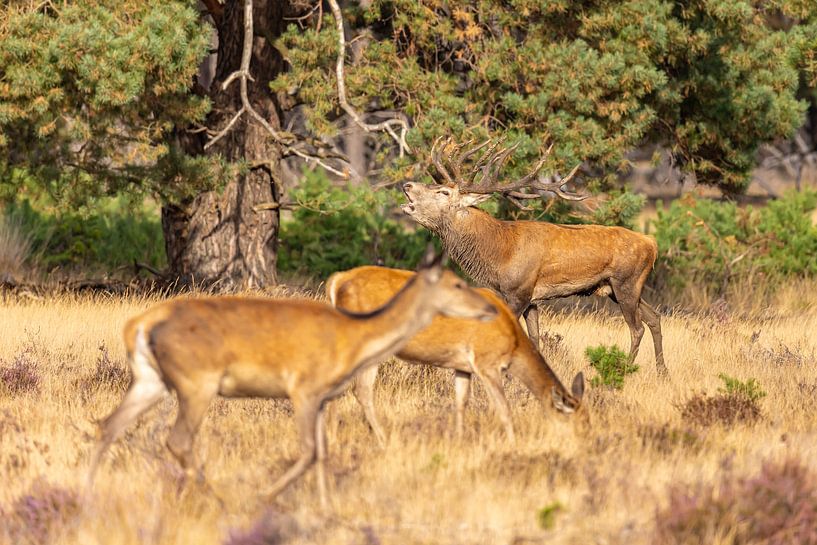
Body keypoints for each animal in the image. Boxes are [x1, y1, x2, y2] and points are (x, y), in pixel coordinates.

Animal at [86, 247, 497, 507]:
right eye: (457, 284)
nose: (490, 308)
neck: (355, 340)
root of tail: (138, 327)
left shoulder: (324, 398)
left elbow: (323, 452)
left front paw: (326, 507)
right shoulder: (304, 389)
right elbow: (309, 450)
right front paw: (266, 496)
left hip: (150, 380)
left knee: (108, 425)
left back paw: (89, 493)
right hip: (196, 383)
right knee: (178, 439)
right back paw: (214, 498)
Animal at [327, 265, 584, 443]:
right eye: (574, 420)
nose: (581, 443)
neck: (512, 341)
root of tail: (337, 281)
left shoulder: (462, 366)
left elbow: (461, 402)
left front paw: (459, 439)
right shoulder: (486, 361)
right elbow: (503, 408)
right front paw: (513, 443)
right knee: (357, 389)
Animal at [402, 138, 666, 375]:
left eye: (444, 192)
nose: (407, 186)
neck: (499, 254)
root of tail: (652, 243)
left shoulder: (518, 291)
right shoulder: (531, 299)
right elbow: (535, 340)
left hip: (626, 282)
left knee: (637, 327)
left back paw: (624, 369)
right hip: (618, 287)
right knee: (654, 316)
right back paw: (662, 371)